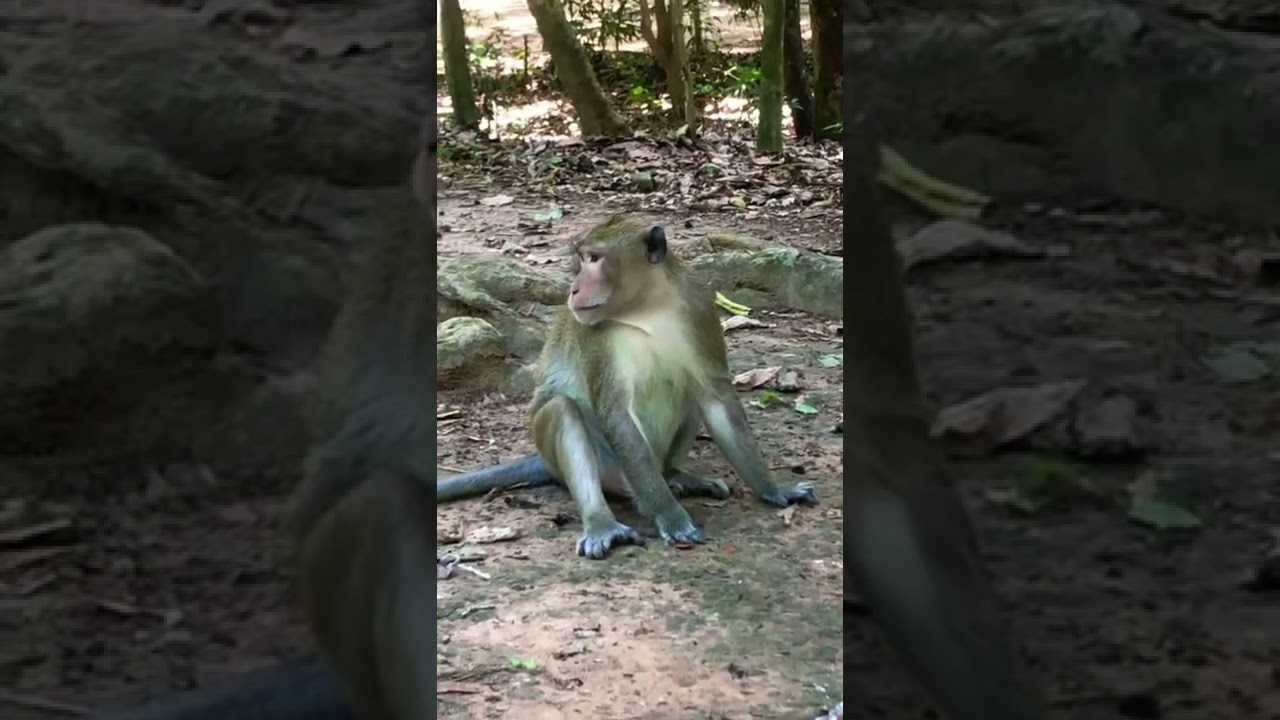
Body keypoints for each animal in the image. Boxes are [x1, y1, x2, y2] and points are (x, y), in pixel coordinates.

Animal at [437, 215, 818, 559]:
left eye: (594, 259)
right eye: (583, 259)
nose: (574, 288)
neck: (648, 310)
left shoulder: (700, 308)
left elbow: (716, 397)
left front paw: (774, 489)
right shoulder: (596, 336)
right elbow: (615, 414)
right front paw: (671, 516)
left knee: (689, 394)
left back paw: (676, 476)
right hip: (610, 470)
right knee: (563, 410)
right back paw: (602, 522)